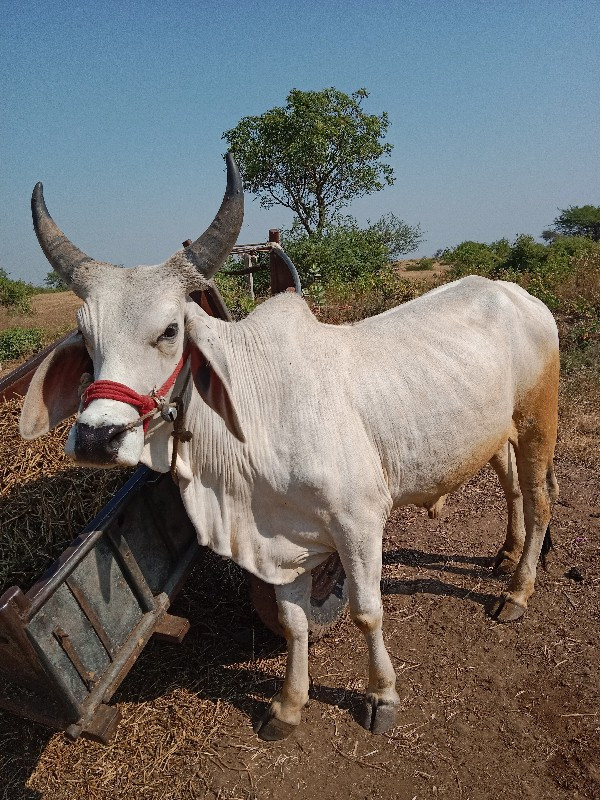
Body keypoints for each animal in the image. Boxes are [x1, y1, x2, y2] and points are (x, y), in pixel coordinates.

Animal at [21, 155, 560, 736]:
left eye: (169, 330)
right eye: (85, 338)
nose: (98, 437)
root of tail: (518, 293)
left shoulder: (359, 523)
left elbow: (366, 611)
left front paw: (382, 695)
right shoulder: (278, 540)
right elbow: (293, 622)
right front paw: (288, 705)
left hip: (538, 421)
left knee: (539, 499)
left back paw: (517, 591)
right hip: (499, 432)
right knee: (512, 489)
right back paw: (505, 554)